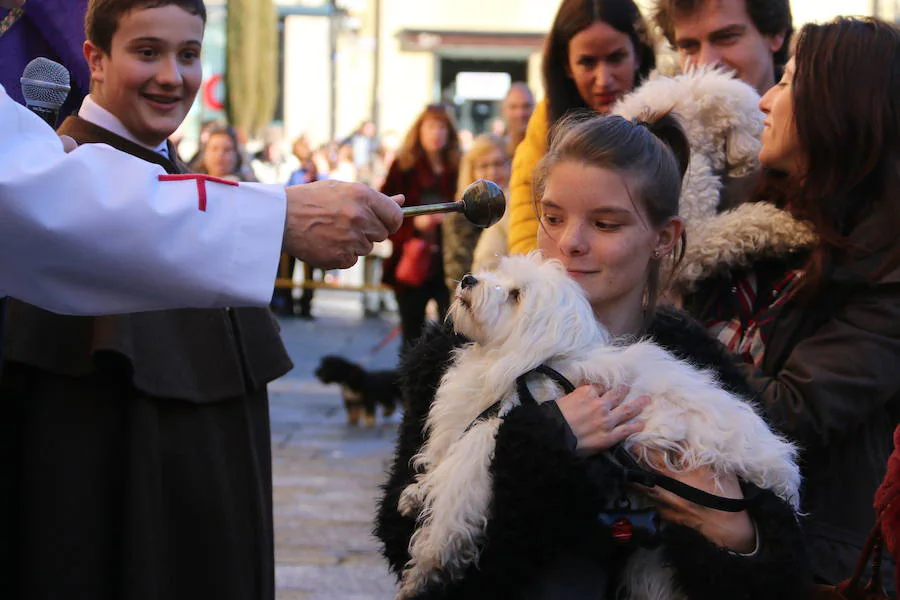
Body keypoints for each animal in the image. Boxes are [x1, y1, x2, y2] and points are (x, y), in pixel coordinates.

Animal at [396, 254, 800, 600]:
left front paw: (427, 566)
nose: (468, 279)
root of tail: (779, 468)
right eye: (497, 272)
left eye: (515, 295)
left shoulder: (489, 439)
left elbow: (455, 499)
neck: (530, 362)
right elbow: (444, 460)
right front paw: (419, 490)